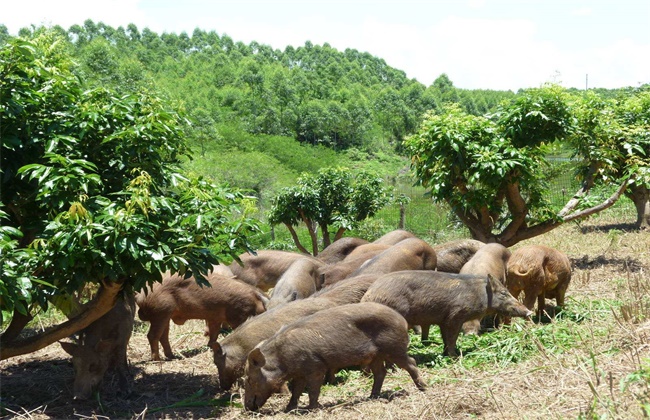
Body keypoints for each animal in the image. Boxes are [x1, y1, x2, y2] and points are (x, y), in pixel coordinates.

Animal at [243, 302, 426, 410]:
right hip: (376, 356)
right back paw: (372, 396)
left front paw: (310, 408)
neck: (282, 358)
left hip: (394, 348)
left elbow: (313, 389)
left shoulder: (315, 367)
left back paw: (423, 388)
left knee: (411, 362)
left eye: (250, 380)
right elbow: (296, 390)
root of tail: (401, 319)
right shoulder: (300, 373)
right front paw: (289, 409)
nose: (246, 407)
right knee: (380, 372)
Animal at [360, 270, 532, 356]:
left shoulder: (442, 320)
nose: (529, 312)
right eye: (504, 293)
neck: (479, 294)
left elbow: (445, 337)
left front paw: (446, 353)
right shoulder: (455, 316)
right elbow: (452, 337)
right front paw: (454, 356)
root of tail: (368, 295)